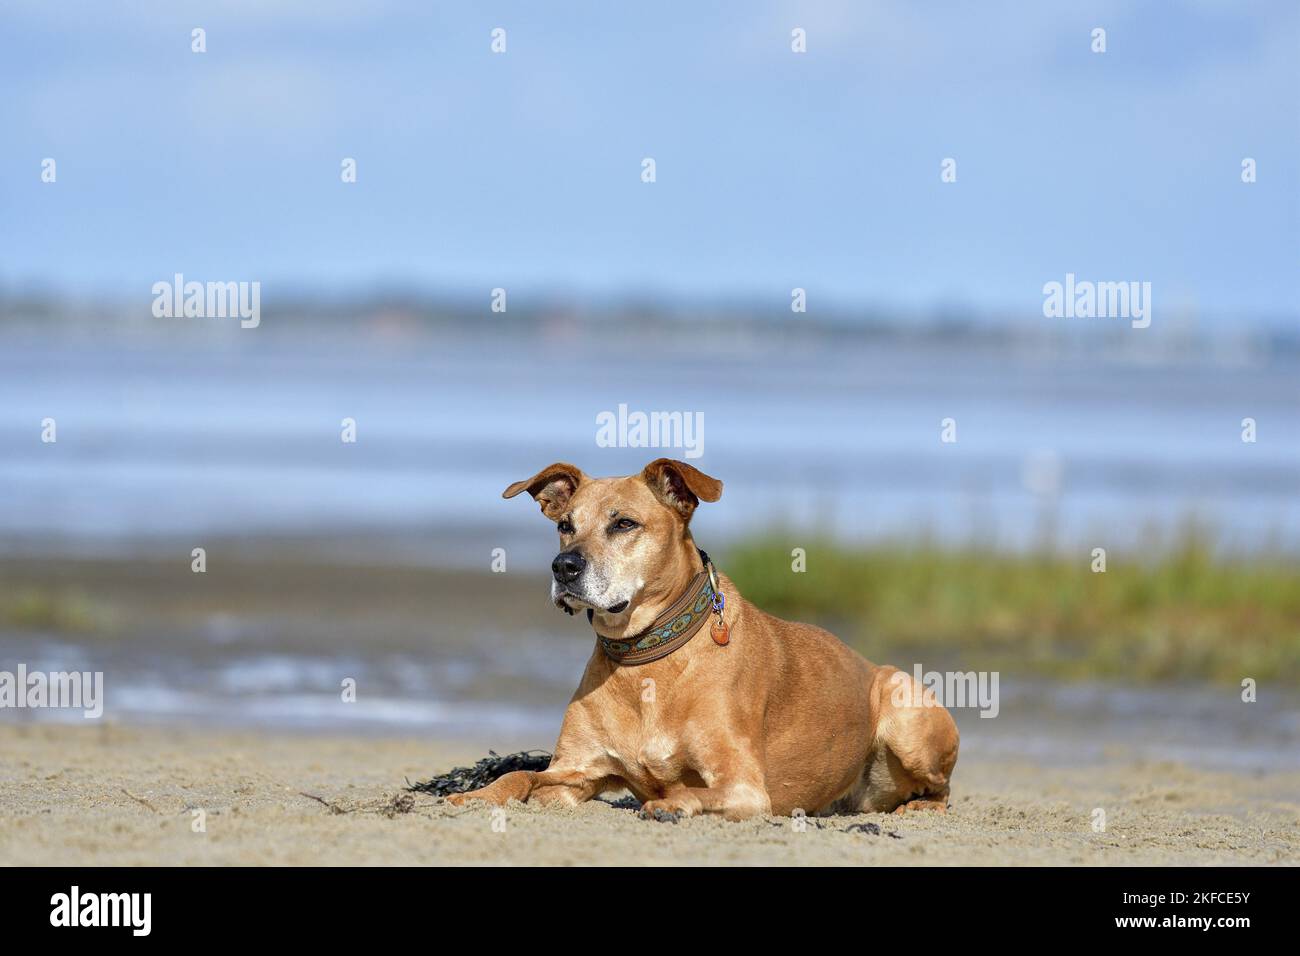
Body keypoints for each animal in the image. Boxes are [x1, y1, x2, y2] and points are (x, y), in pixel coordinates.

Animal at [452, 460, 961, 816]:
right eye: (565, 526)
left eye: (624, 524)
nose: (564, 567)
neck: (646, 660)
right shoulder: (575, 771)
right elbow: (524, 774)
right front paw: (479, 793)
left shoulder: (743, 785)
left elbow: (694, 791)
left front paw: (669, 803)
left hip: (906, 715)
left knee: (943, 788)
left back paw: (921, 805)